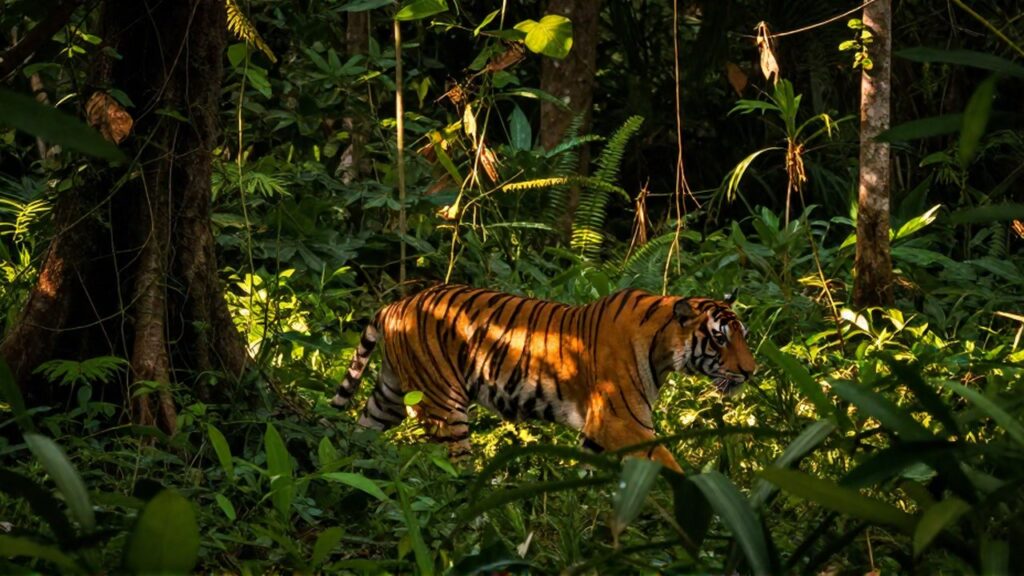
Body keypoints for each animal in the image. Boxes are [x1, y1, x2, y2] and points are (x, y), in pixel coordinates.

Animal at [330, 284, 755, 473]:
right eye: (720, 338)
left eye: (745, 337)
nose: (751, 371)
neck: (664, 348)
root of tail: (394, 305)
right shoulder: (622, 422)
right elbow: (667, 462)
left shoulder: (598, 430)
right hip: (443, 405)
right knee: (454, 467)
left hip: (389, 395)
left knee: (357, 432)